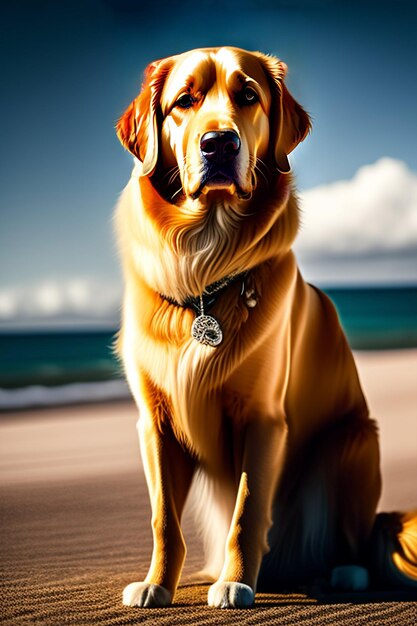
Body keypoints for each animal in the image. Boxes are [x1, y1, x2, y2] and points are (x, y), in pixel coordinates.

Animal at [114, 45, 416, 604]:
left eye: (248, 95)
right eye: (184, 100)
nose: (219, 143)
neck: (206, 268)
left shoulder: (264, 419)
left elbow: (248, 510)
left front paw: (235, 582)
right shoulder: (156, 422)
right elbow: (164, 518)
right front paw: (156, 584)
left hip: (353, 442)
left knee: (357, 539)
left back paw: (342, 572)